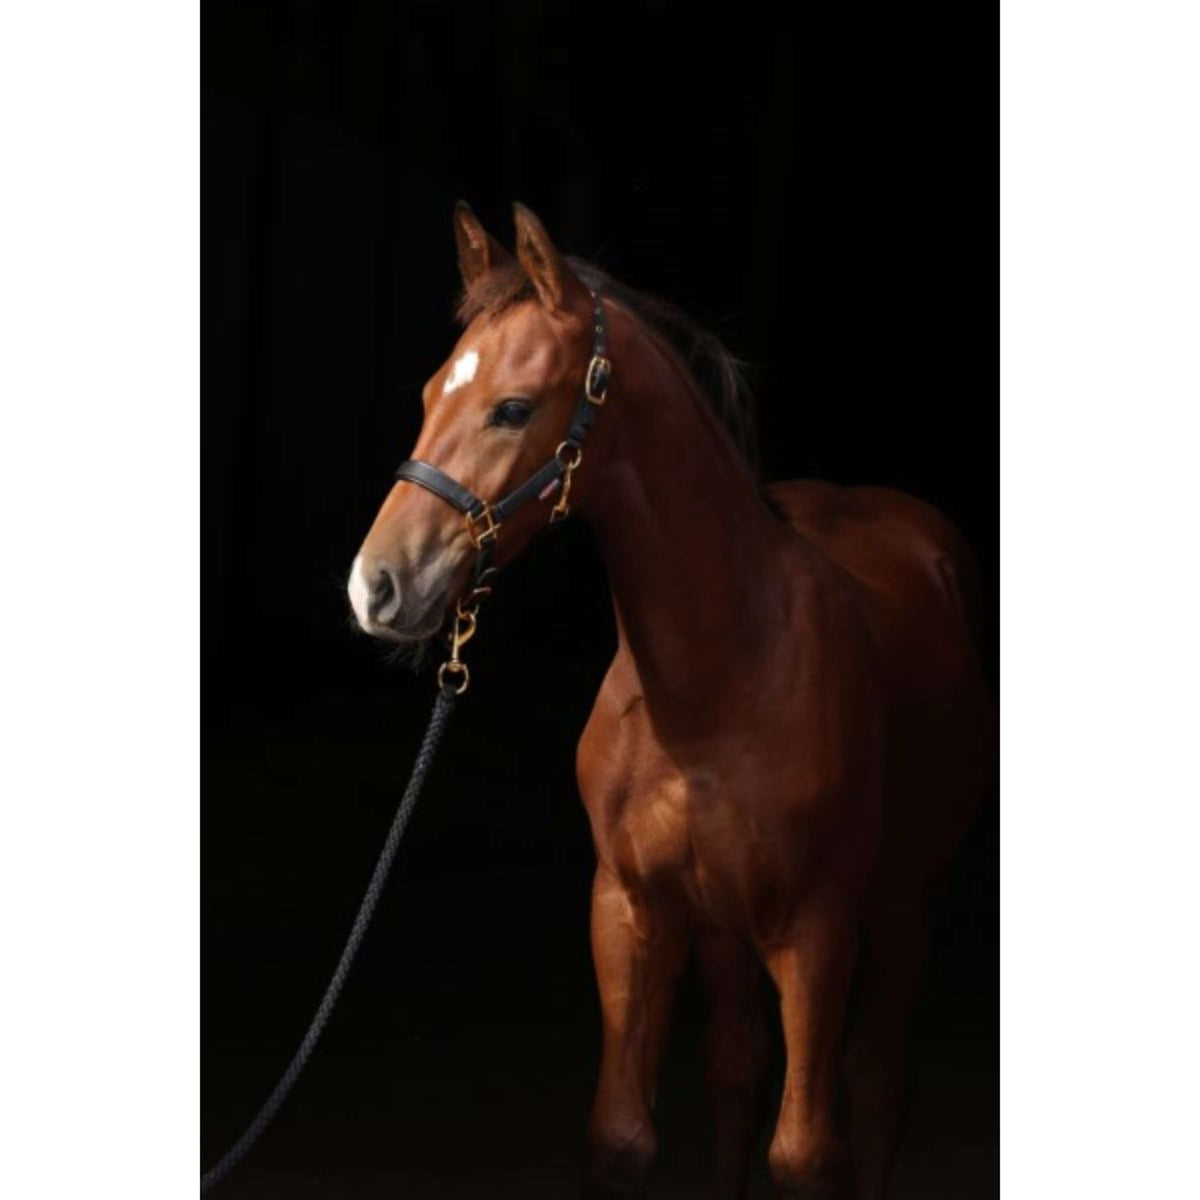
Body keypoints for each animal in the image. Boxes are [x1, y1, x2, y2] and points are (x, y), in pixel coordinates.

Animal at [347, 200, 995, 1199]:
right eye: (425, 397)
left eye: (512, 408)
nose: (375, 585)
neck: (713, 692)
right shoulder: (630, 910)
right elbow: (625, 1133)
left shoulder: (816, 932)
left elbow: (806, 1152)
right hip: (727, 931)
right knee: (737, 1067)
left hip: (901, 904)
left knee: (878, 1080)